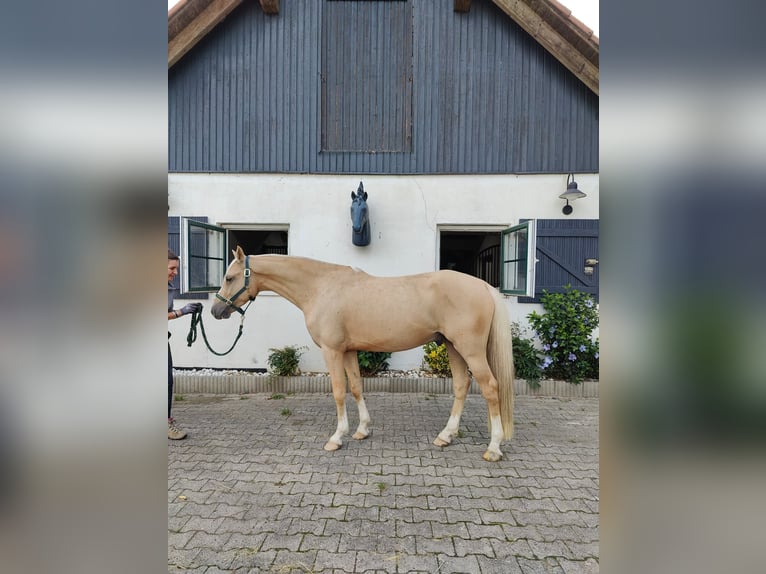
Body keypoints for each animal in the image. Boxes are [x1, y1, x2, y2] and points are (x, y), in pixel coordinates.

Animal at [211, 246, 515, 461]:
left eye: (229, 277)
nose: (215, 310)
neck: (321, 287)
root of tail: (484, 286)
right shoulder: (349, 350)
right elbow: (356, 387)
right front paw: (362, 430)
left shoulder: (332, 351)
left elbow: (338, 391)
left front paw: (336, 437)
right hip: (453, 347)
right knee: (462, 385)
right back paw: (446, 435)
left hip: (470, 349)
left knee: (490, 387)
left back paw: (493, 448)